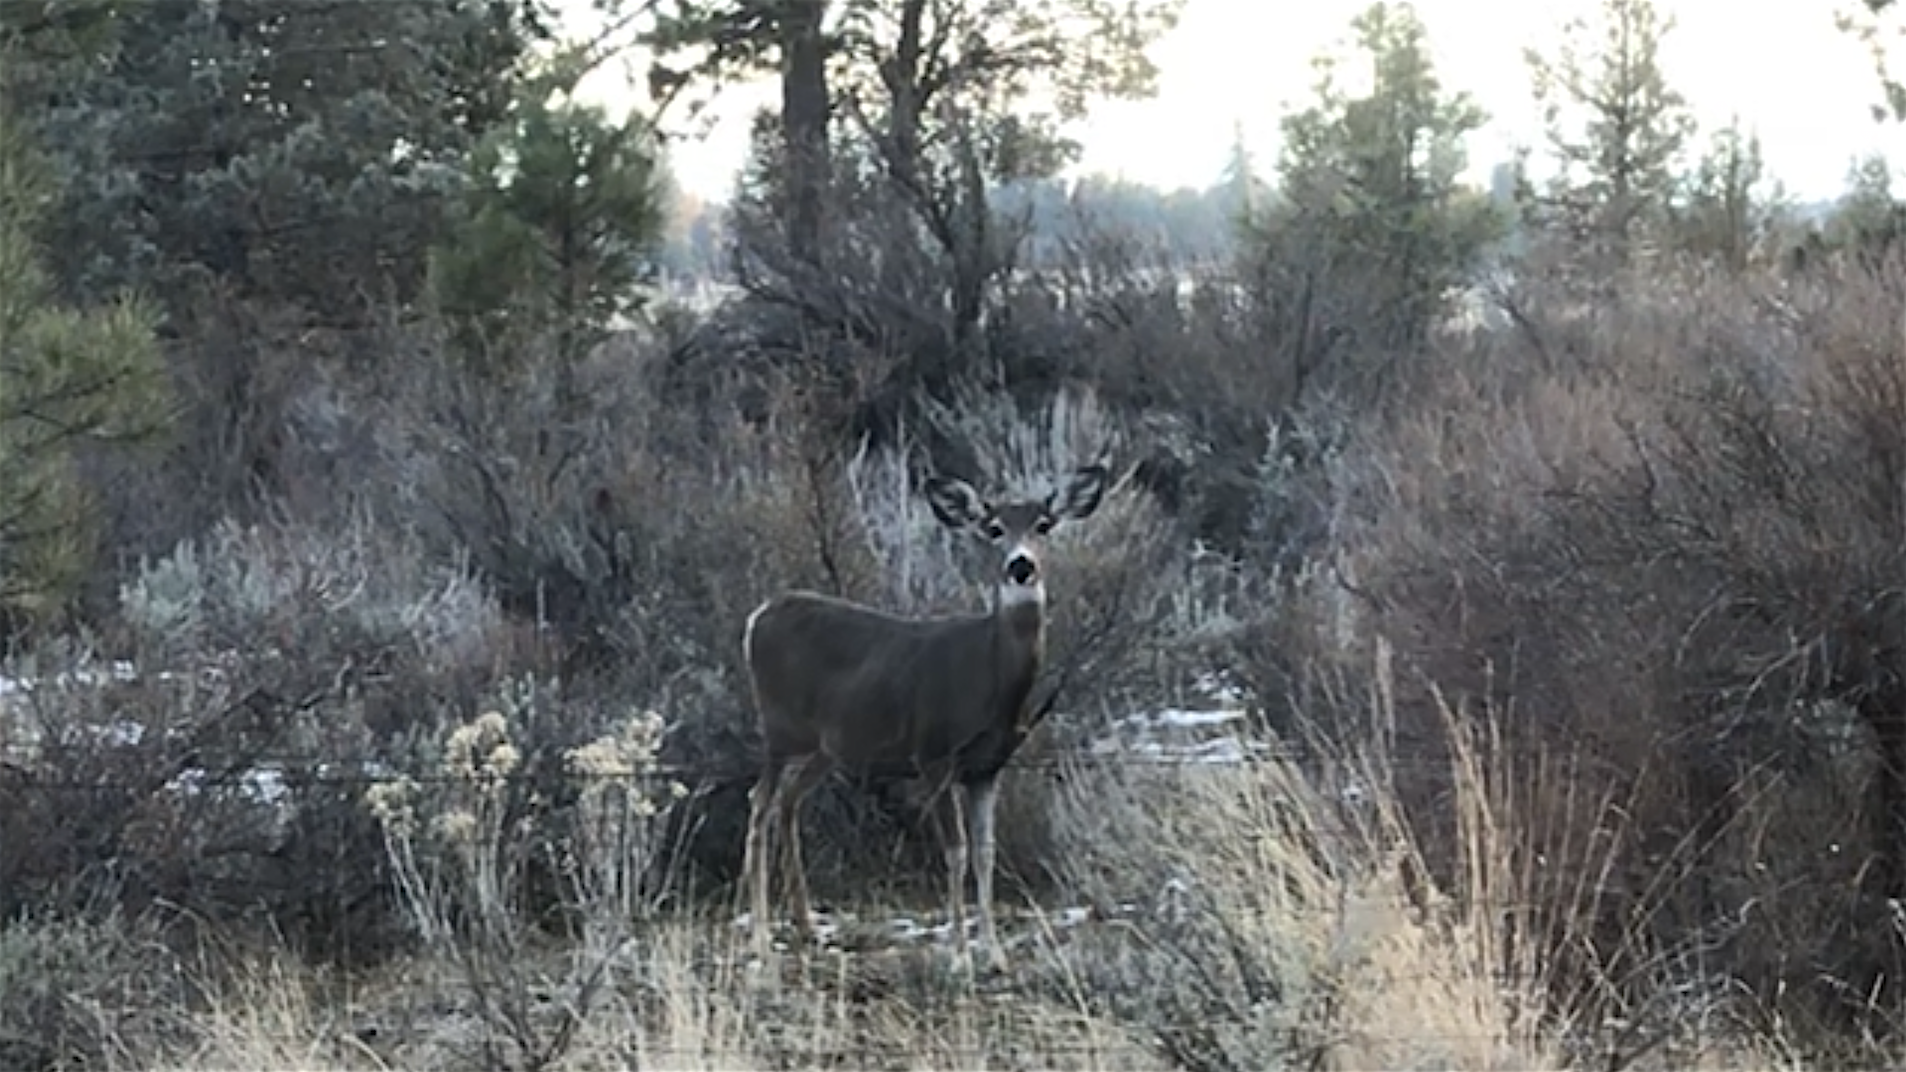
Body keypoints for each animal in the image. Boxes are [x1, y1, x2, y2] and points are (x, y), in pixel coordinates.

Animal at [739, 463, 1110, 971]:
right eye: (993, 528)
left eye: (1044, 525)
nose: (1021, 566)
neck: (989, 675)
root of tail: (757, 617)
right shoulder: (933, 753)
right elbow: (955, 851)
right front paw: (958, 956)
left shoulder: (988, 766)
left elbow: (986, 852)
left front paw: (994, 954)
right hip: (778, 727)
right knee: (760, 801)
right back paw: (759, 939)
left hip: (827, 746)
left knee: (788, 801)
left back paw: (807, 926)